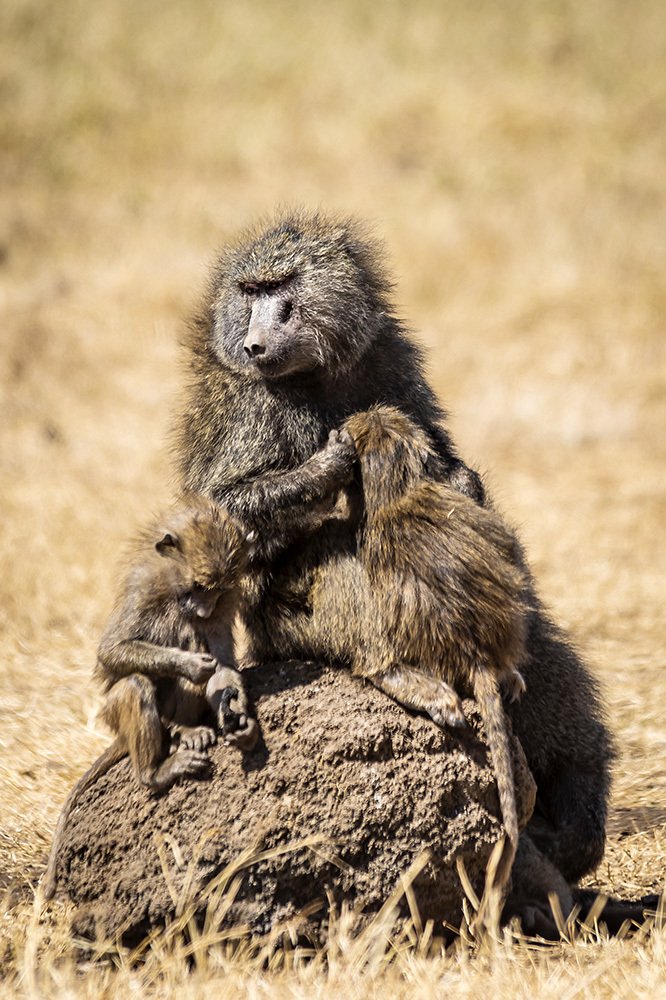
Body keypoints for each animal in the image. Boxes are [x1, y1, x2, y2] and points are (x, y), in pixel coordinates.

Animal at [173, 207, 614, 887]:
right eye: (249, 293)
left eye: (282, 288)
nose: (255, 344)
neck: (315, 373)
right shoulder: (251, 402)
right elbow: (222, 511)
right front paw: (329, 465)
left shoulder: (390, 359)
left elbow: (454, 472)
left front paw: (455, 485)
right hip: (284, 628)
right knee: (346, 556)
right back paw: (402, 675)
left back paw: (569, 800)